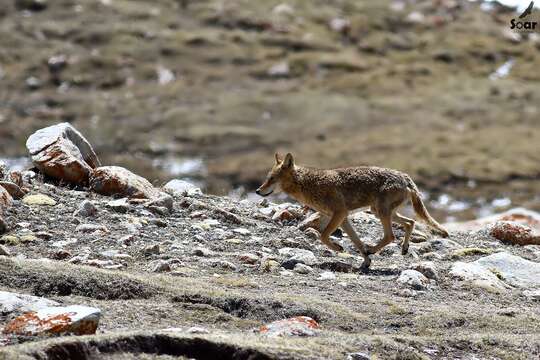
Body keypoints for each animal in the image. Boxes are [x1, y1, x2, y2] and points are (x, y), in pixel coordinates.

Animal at [255, 153, 450, 270]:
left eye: (271, 179)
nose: (257, 191)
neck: (308, 184)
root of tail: (406, 177)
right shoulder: (343, 218)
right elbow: (356, 242)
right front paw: (365, 261)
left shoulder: (339, 214)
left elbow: (323, 237)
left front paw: (339, 248)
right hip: (381, 212)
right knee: (411, 222)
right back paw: (403, 248)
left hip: (381, 213)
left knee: (391, 236)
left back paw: (374, 249)